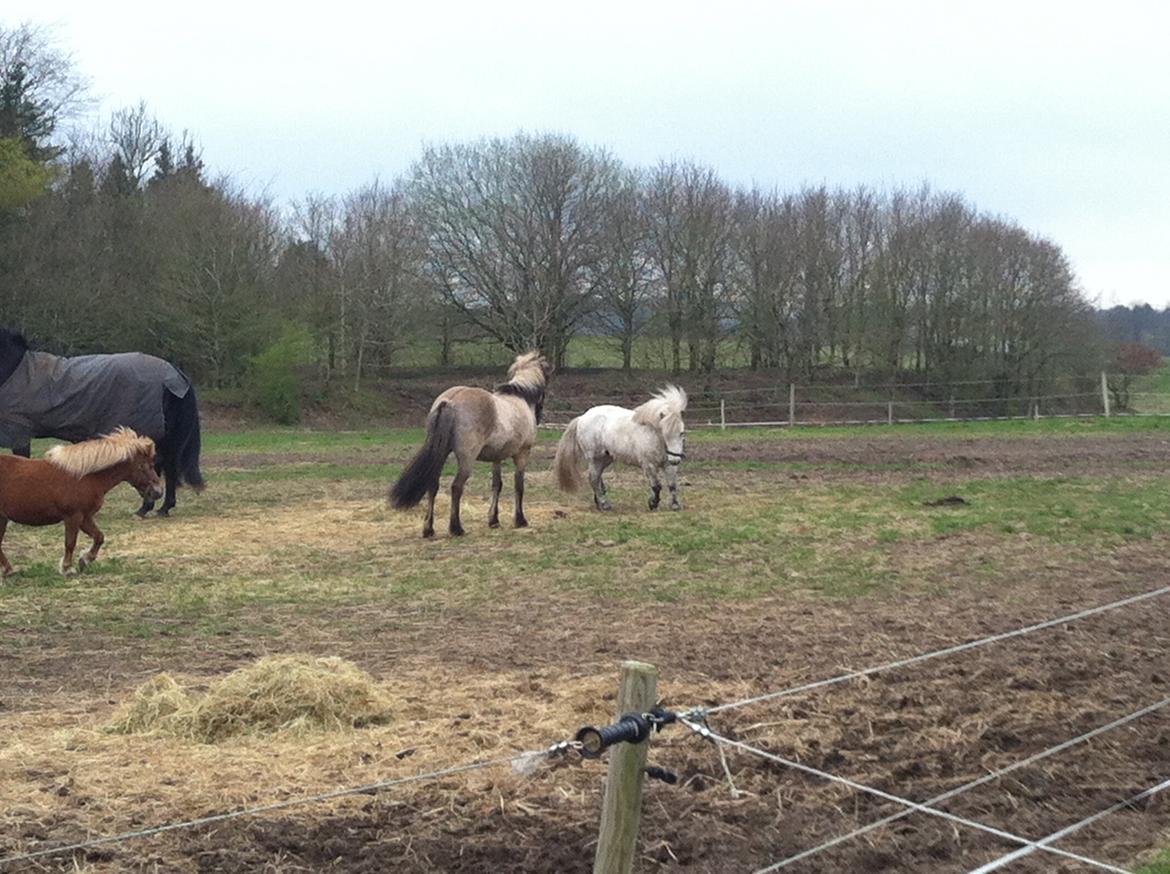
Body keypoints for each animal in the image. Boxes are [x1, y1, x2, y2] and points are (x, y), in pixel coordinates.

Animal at [0, 329, 203, 519]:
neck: (15, 371)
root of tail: (176, 373)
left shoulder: (20, 432)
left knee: (166, 466)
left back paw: (155, 507)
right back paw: (156, 507)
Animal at [0, 428, 164, 577]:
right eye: (143, 466)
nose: (158, 491)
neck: (84, 477)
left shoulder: (85, 517)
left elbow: (99, 537)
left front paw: (85, 560)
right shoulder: (73, 517)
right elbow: (70, 543)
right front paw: (67, 568)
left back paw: (8, 570)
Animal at [388, 351, 552, 535]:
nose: (539, 414)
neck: (520, 398)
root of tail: (449, 401)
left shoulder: (497, 457)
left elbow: (497, 485)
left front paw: (494, 520)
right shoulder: (522, 453)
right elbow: (519, 485)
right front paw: (520, 519)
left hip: (441, 453)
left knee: (433, 486)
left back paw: (428, 529)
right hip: (466, 460)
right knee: (456, 487)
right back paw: (456, 528)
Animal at [554, 383, 687, 512]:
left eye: (682, 433)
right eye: (664, 433)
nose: (675, 459)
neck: (653, 435)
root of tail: (582, 417)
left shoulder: (668, 465)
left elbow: (672, 484)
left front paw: (675, 505)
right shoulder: (649, 465)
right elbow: (657, 486)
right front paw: (653, 503)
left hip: (605, 458)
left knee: (598, 477)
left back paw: (599, 501)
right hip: (595, 458)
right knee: (593, 478)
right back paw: (604, 504)